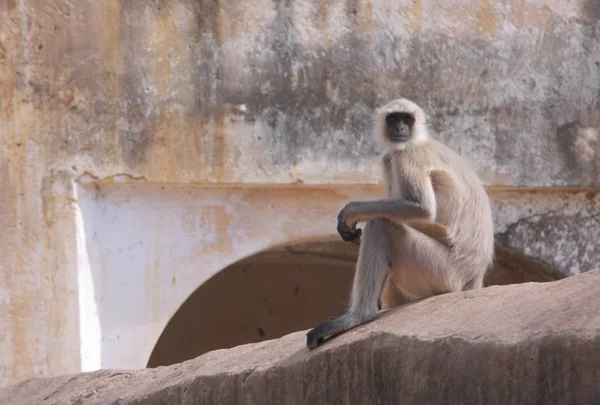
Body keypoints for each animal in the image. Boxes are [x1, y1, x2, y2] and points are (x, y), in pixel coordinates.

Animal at [308, 97, 494, 348]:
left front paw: (351, 212)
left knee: (382, 225)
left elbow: (421, 208)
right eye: (393, 118)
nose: (400, 128)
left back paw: (360, 315)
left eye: (407, 119)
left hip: (442, 271)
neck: (420, 140)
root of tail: (474, 277)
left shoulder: (408, 155)